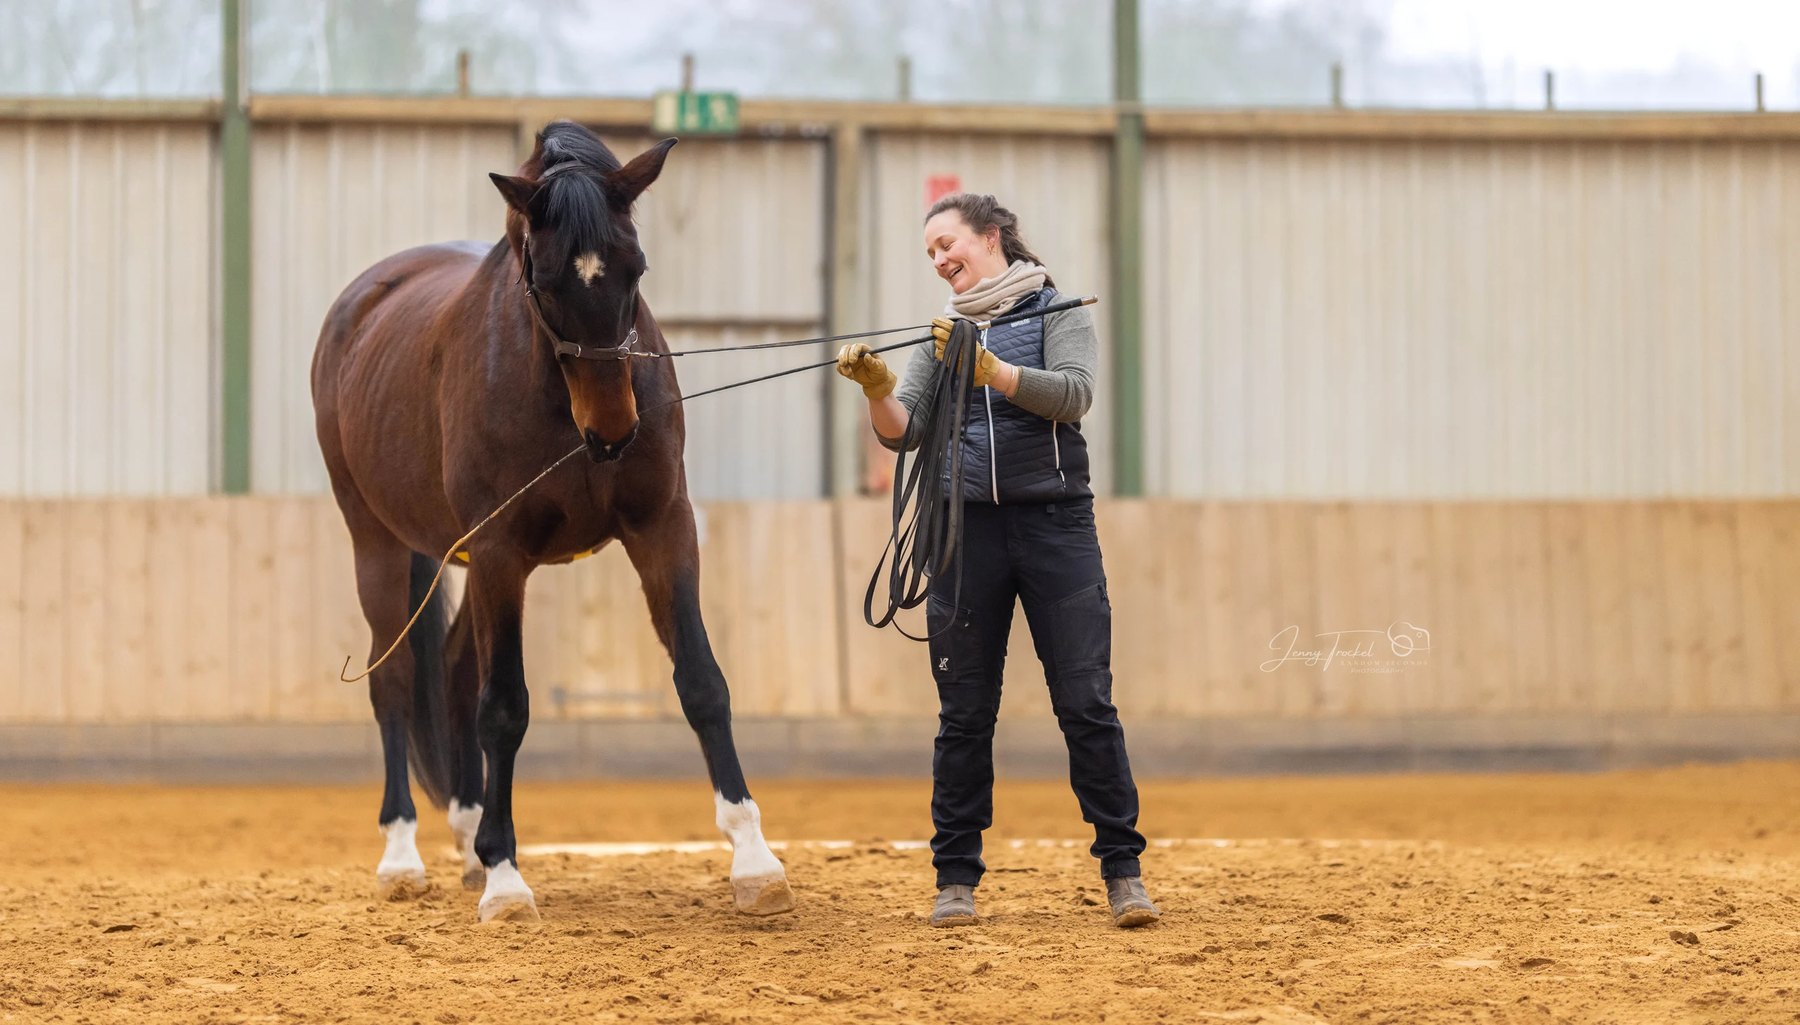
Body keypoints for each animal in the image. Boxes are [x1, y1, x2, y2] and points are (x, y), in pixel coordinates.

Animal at [310, 120, 793, 922]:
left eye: (636, 265)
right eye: (541, 277)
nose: (614, 431)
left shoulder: (663, 528)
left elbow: (702, 682)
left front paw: (755, 861)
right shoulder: (500, 551)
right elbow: (505, 707)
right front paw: (506, 880)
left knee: (453, 670)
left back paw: (469, 836)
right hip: (376, 542)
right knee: (398, 680)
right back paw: (404, 854)